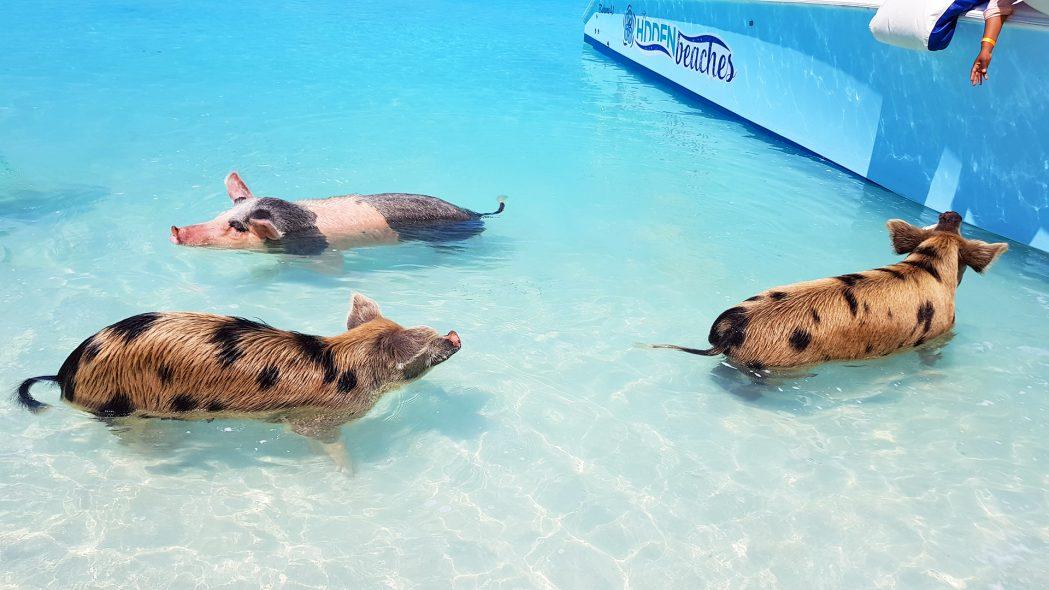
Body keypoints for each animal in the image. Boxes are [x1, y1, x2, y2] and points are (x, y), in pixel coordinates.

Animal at [16, 293, 460, 470]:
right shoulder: (317, 418)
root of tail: (64, 375)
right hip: (124, 406)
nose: (455, 335)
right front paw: (349, 473)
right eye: (426, 339)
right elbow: (324, 440)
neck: (343, 364)